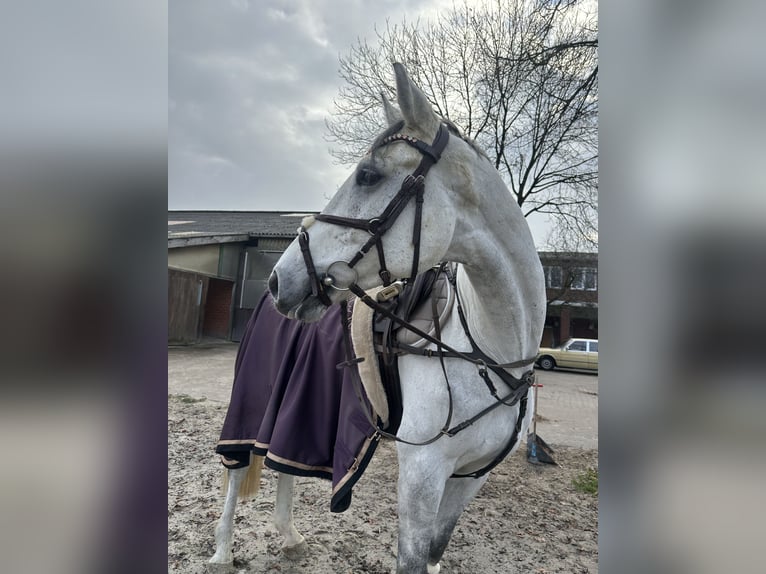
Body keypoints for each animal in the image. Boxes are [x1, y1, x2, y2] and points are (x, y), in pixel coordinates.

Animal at [210, 63, 546, 573]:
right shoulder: (422, 477)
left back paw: (289, 535)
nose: (278, 279)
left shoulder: (469, 479)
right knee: (238, 468)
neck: (489, 352)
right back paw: (222, 550)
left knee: (283, 463)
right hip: (253, 400)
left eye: (368, 175)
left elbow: (435, 555)